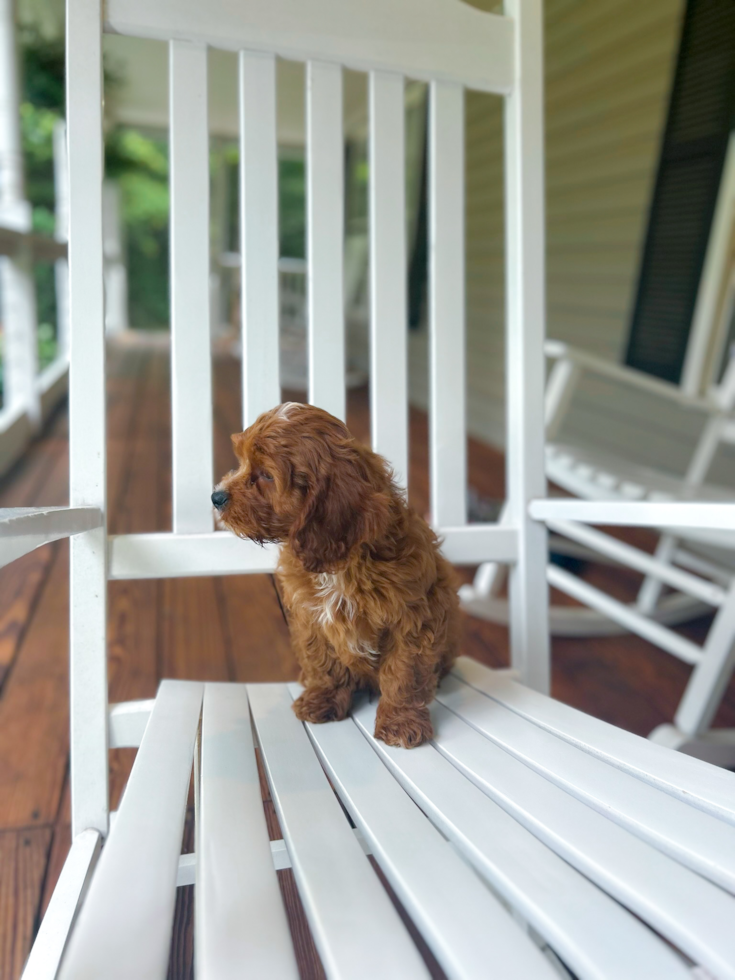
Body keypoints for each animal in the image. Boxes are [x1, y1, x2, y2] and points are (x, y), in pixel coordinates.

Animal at [213, 402, 462, 748]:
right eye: (243, 462)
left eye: (266, 475)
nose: (216, 497)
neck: (340, 566)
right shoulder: (311, 616)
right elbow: (324, 661)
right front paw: (324, 699)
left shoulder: (414, 617)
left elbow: (403, 672)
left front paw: (400, 721)